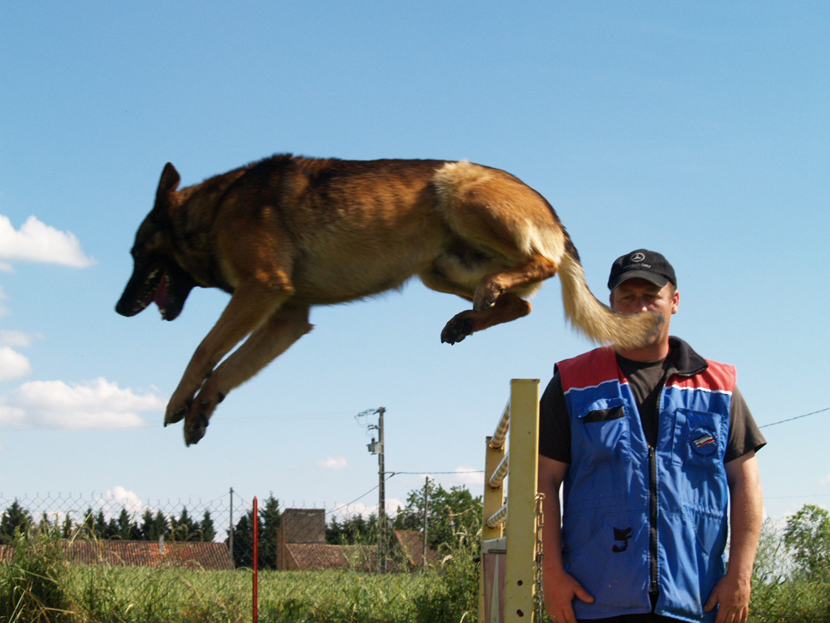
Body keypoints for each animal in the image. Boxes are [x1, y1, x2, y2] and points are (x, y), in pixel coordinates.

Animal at [117, 158, 660, 446]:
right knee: (518, 305)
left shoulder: (261, 291)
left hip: (455, 190)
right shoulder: (285, 320)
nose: (119, 309)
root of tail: (553, 216)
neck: (212, 212)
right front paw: (200, 409)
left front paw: (179, 399)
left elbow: (205, 349)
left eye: (137, 253)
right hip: (435, 269)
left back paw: (491, 292)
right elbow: (228, 367)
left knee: (538, 264)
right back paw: (468, 317)